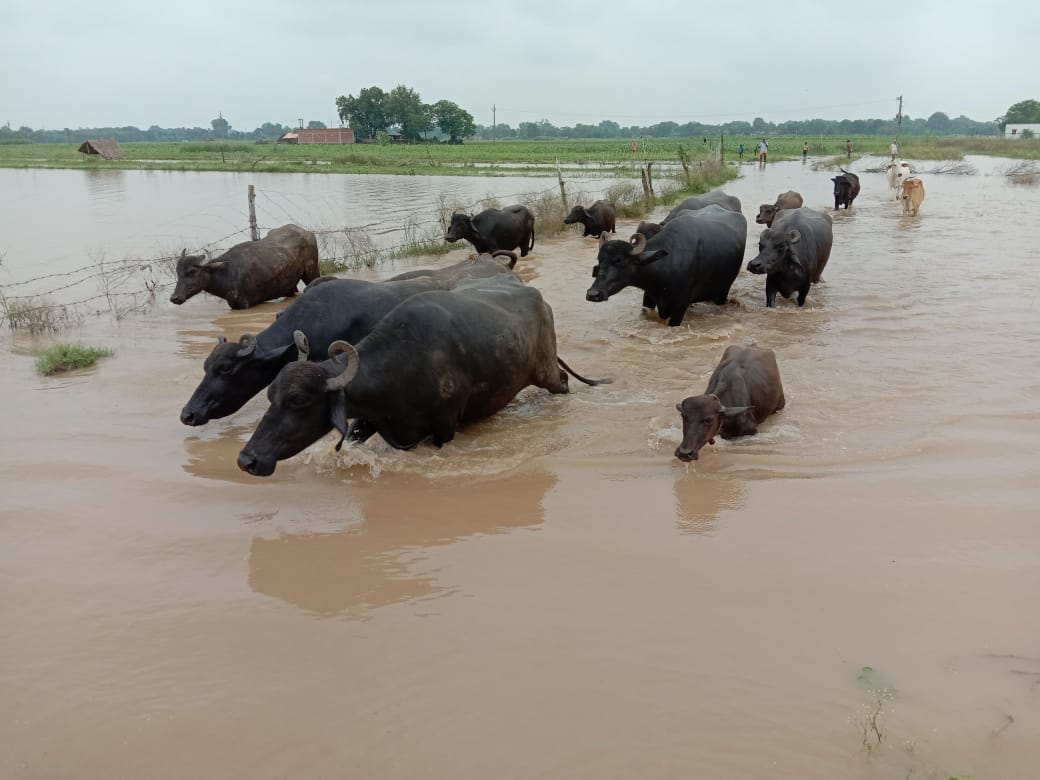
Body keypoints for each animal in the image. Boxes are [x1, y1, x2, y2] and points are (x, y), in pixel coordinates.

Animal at [170, 224, 319, 309]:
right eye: (178, 272)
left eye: (192, 272)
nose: (174, 298)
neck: (228, 274)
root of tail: (307, 233)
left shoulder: (244, 305)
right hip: (289, 286)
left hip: (312, 273)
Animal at [236, 274, 610, 476]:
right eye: (270, 395)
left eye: (298, 400)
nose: (247, 459)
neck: (397, 370)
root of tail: (538, 298)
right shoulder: (368, 422)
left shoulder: (444, 426)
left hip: (546, 373)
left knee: (562, 382)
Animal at [586, 204, 747, 327]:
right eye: (600, 260)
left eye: (619, 260)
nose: (593, 294)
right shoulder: (649, 298)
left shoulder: (679, 307)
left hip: (724, 289)